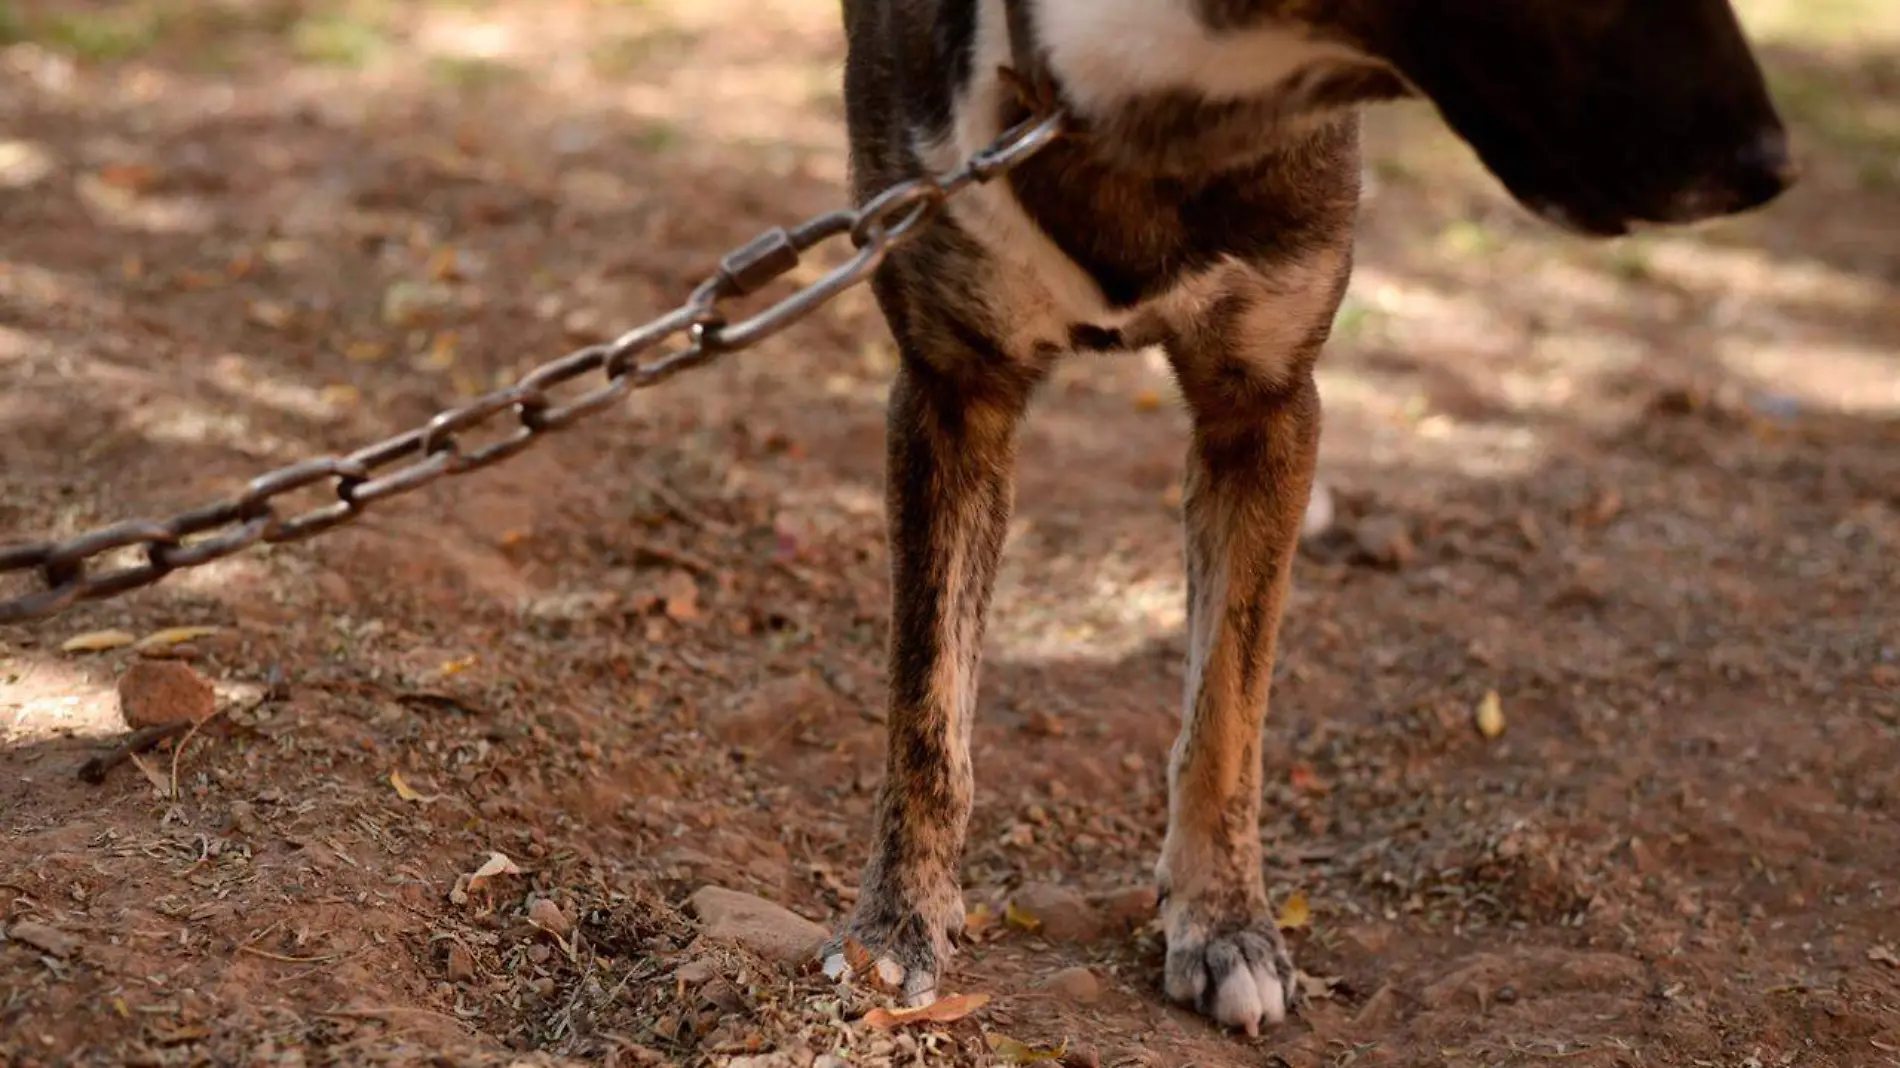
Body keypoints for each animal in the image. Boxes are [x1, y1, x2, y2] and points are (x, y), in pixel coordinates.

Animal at [820, 0, 1793, 1033]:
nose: (1771, 167)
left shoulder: (1266, 406)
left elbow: (1228, 712)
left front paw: (1226, 926)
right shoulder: (953, 391)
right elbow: (928, 710)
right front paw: (894, 927)